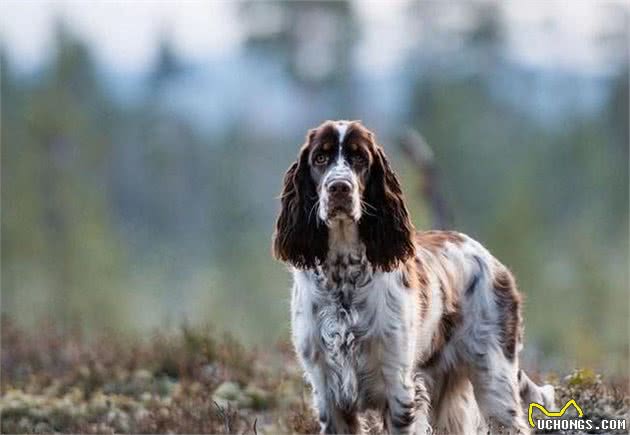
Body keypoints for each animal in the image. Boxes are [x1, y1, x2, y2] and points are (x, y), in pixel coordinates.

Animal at [274, 121, 556, 434]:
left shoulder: (399, 388)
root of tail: (495, 263)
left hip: (494, 379)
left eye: (359, 158)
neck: (343, 278)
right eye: (320, 158)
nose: (339, 188)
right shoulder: (329, 394)